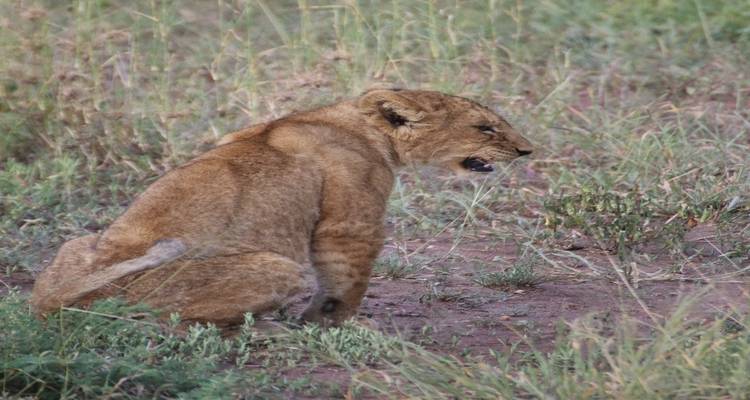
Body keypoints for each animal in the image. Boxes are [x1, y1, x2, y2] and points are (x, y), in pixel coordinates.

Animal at [30, 89, 533, 326]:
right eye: (485, 127)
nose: (528, 150)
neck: (355, 122)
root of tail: (53, 302)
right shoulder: (349, 221)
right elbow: (345, 283)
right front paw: (329, 326)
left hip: (77, 246)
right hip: (277, 267)